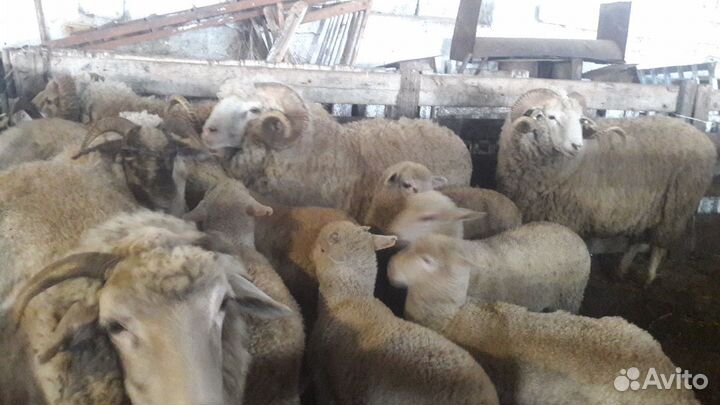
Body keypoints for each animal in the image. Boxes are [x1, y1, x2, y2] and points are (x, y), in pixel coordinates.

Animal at [496, 88, 717, 283]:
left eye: (579, 119)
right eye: (550, 117)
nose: (577, 145)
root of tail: (703, 137)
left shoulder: (566, 216)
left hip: (678, 205)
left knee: (660, 244)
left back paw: (649, 276)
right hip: (649, 207)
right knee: (639, 239)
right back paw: (621, 270)